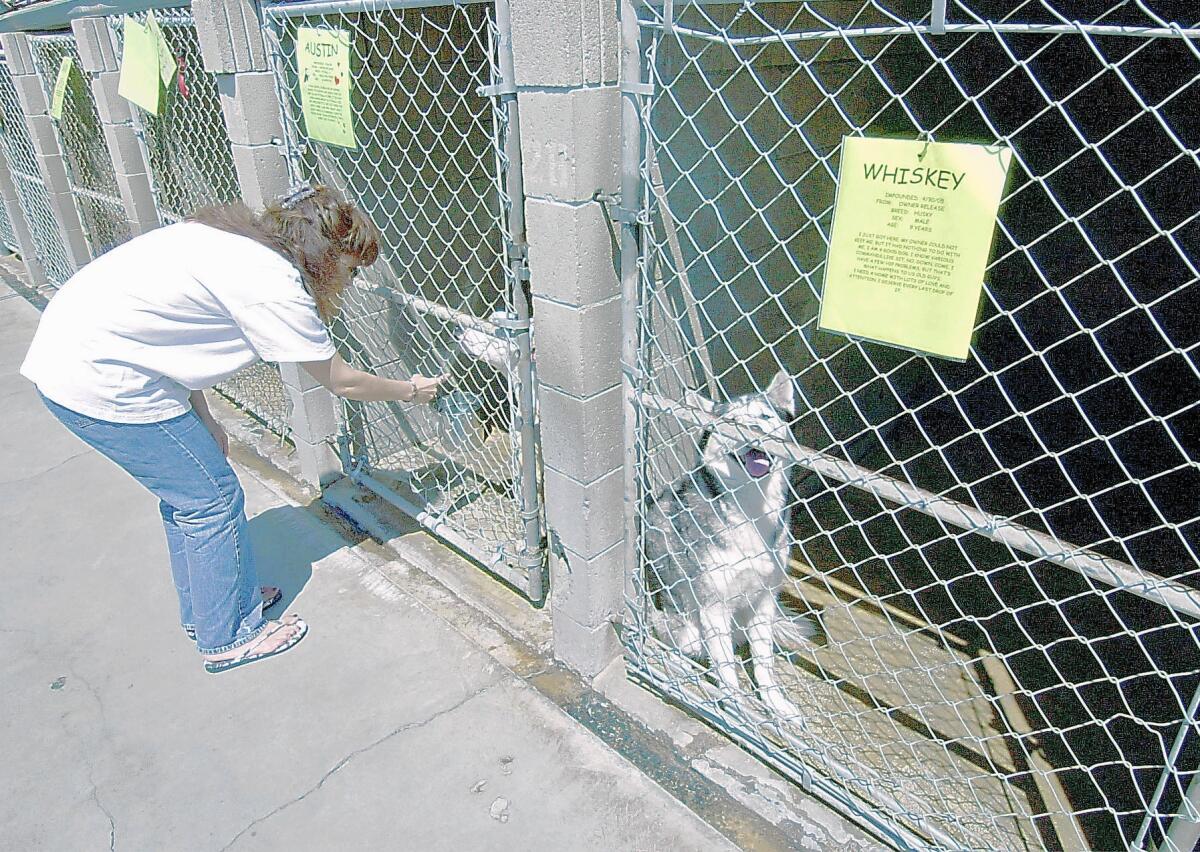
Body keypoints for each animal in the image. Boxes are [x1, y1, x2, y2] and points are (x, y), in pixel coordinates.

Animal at [643, 372, 820, 720]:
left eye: (765, 416)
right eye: (732, 421)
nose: (754, 431)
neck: (752, 509)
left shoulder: (765, 600)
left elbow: (764, 664)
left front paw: (774, 703)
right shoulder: (714, 606)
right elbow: (725, 668)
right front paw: (736, 708)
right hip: (685, 625)